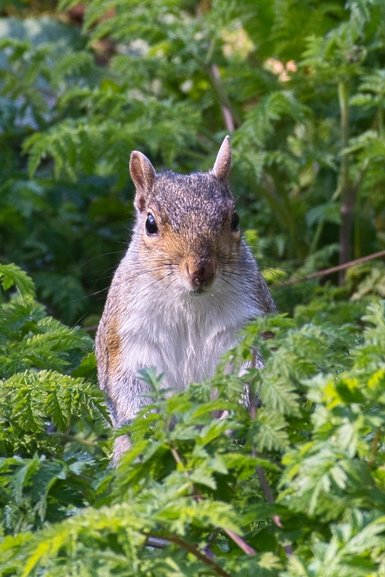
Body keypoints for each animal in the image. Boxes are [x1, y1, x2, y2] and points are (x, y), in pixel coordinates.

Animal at [96, 136, 276, 464]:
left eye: (235, 220)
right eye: (150, 224)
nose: (201, 270)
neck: (189, 303)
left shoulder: (247, 326)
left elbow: (250, 375)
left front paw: (230, 423)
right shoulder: (128, 341)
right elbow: (128, 390)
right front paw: (154, 431)